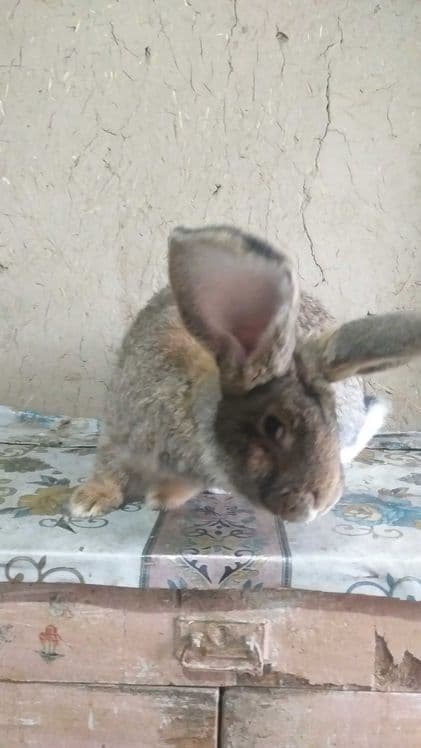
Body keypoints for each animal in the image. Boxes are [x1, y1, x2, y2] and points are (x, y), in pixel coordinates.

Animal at [68, 225, 421, 522]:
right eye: (273, 426)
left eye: (331, 424)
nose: (323, 503)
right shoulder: (117, 429)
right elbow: (108, 466)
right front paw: (88, 501)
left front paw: (160, 498)